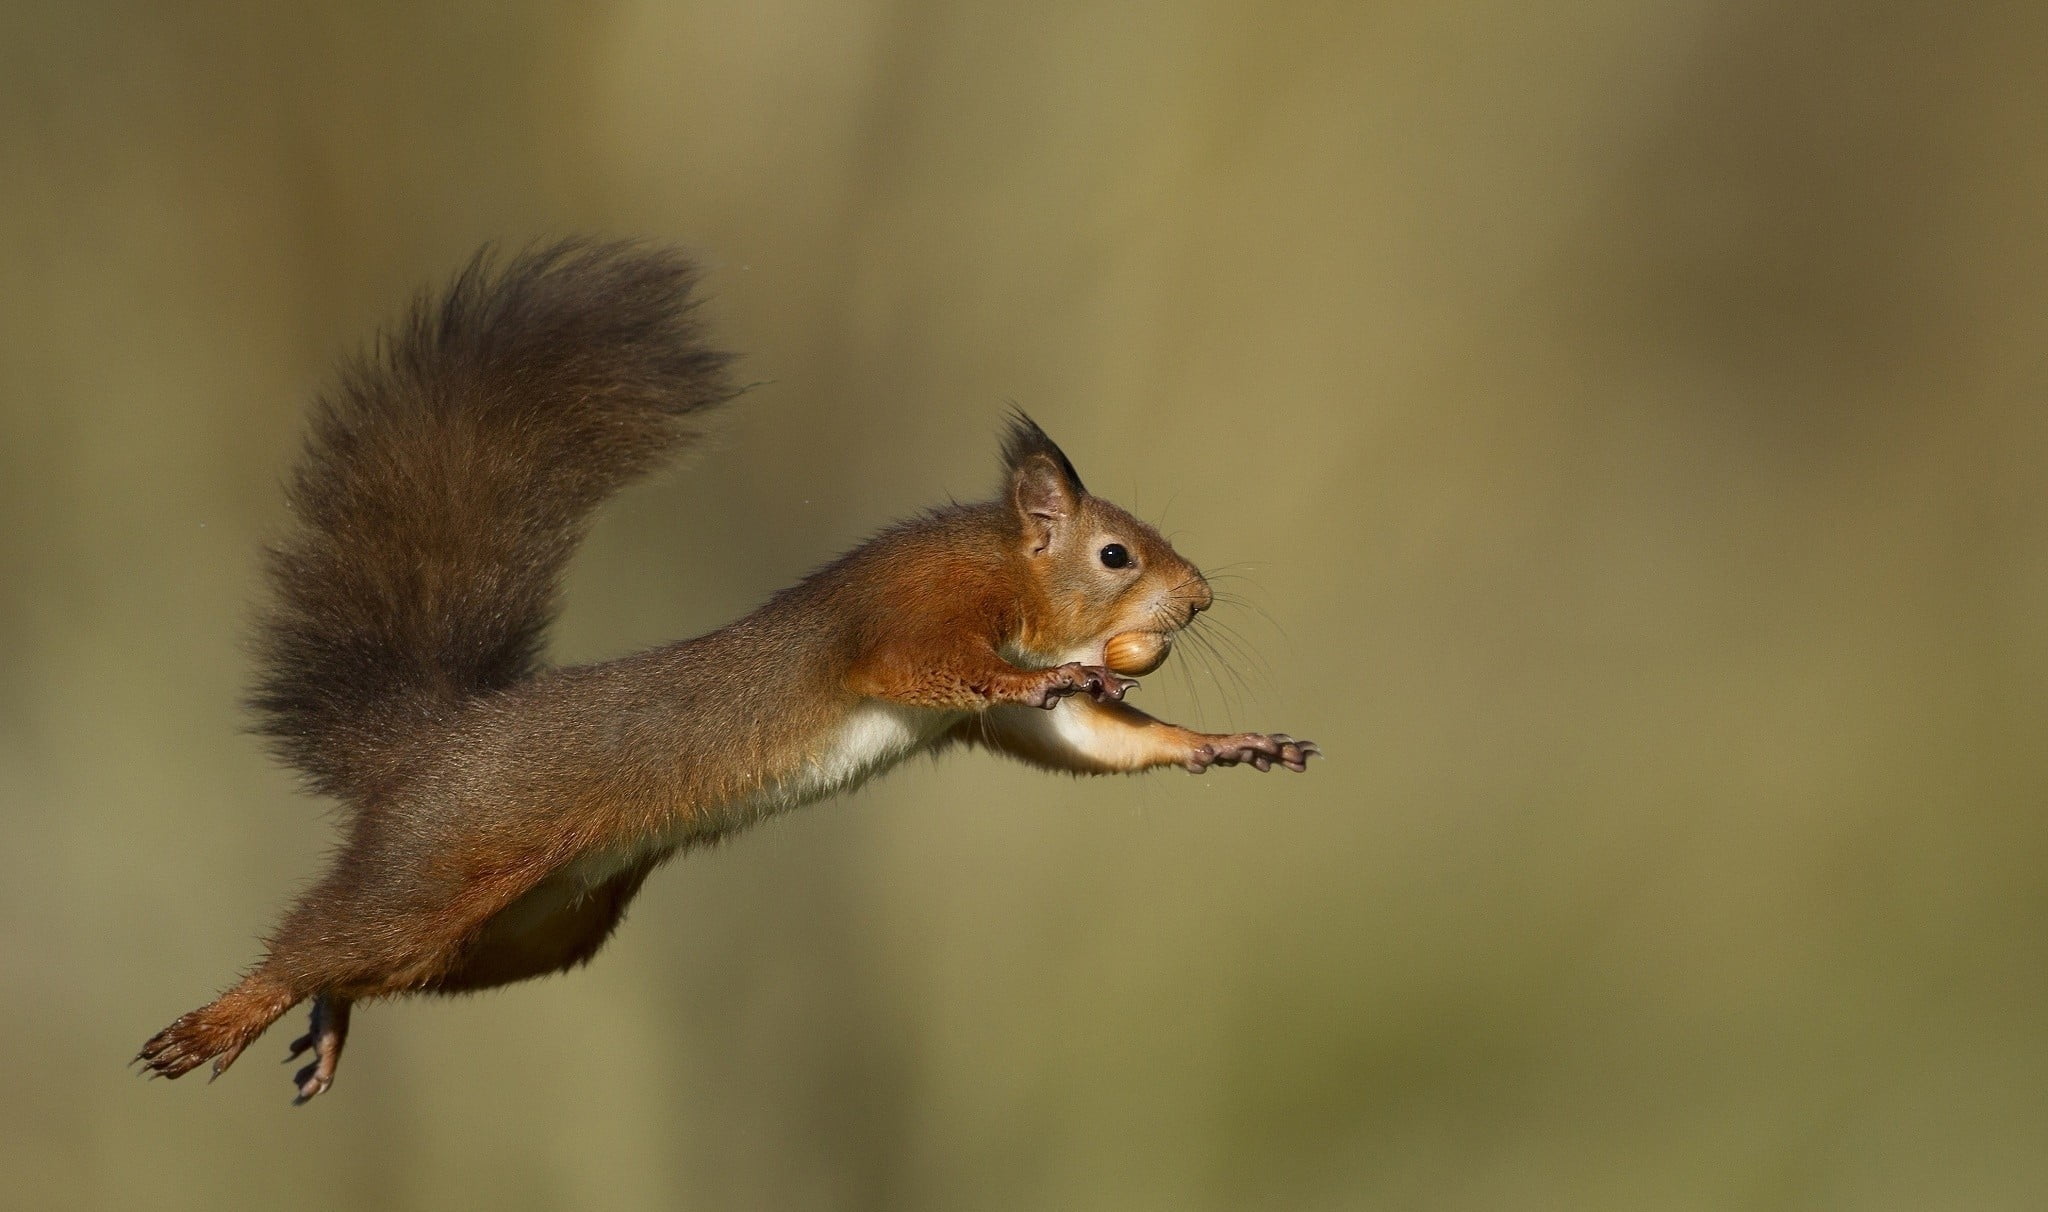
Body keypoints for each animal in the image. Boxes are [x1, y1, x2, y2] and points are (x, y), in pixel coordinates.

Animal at [137, 239, 1318, 1103]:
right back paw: (221, 1019)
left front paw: (1226, 743)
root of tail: (429, 741)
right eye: (1117, 555)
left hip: (532, 929)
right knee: (326, 940)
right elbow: (936, 671)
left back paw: (325, 1024)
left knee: (362, 973)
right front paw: (1039, 679)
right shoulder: (909, 613)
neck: (1006, 576)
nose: (1200, 599)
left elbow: (1085, 739)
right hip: (447, 862)